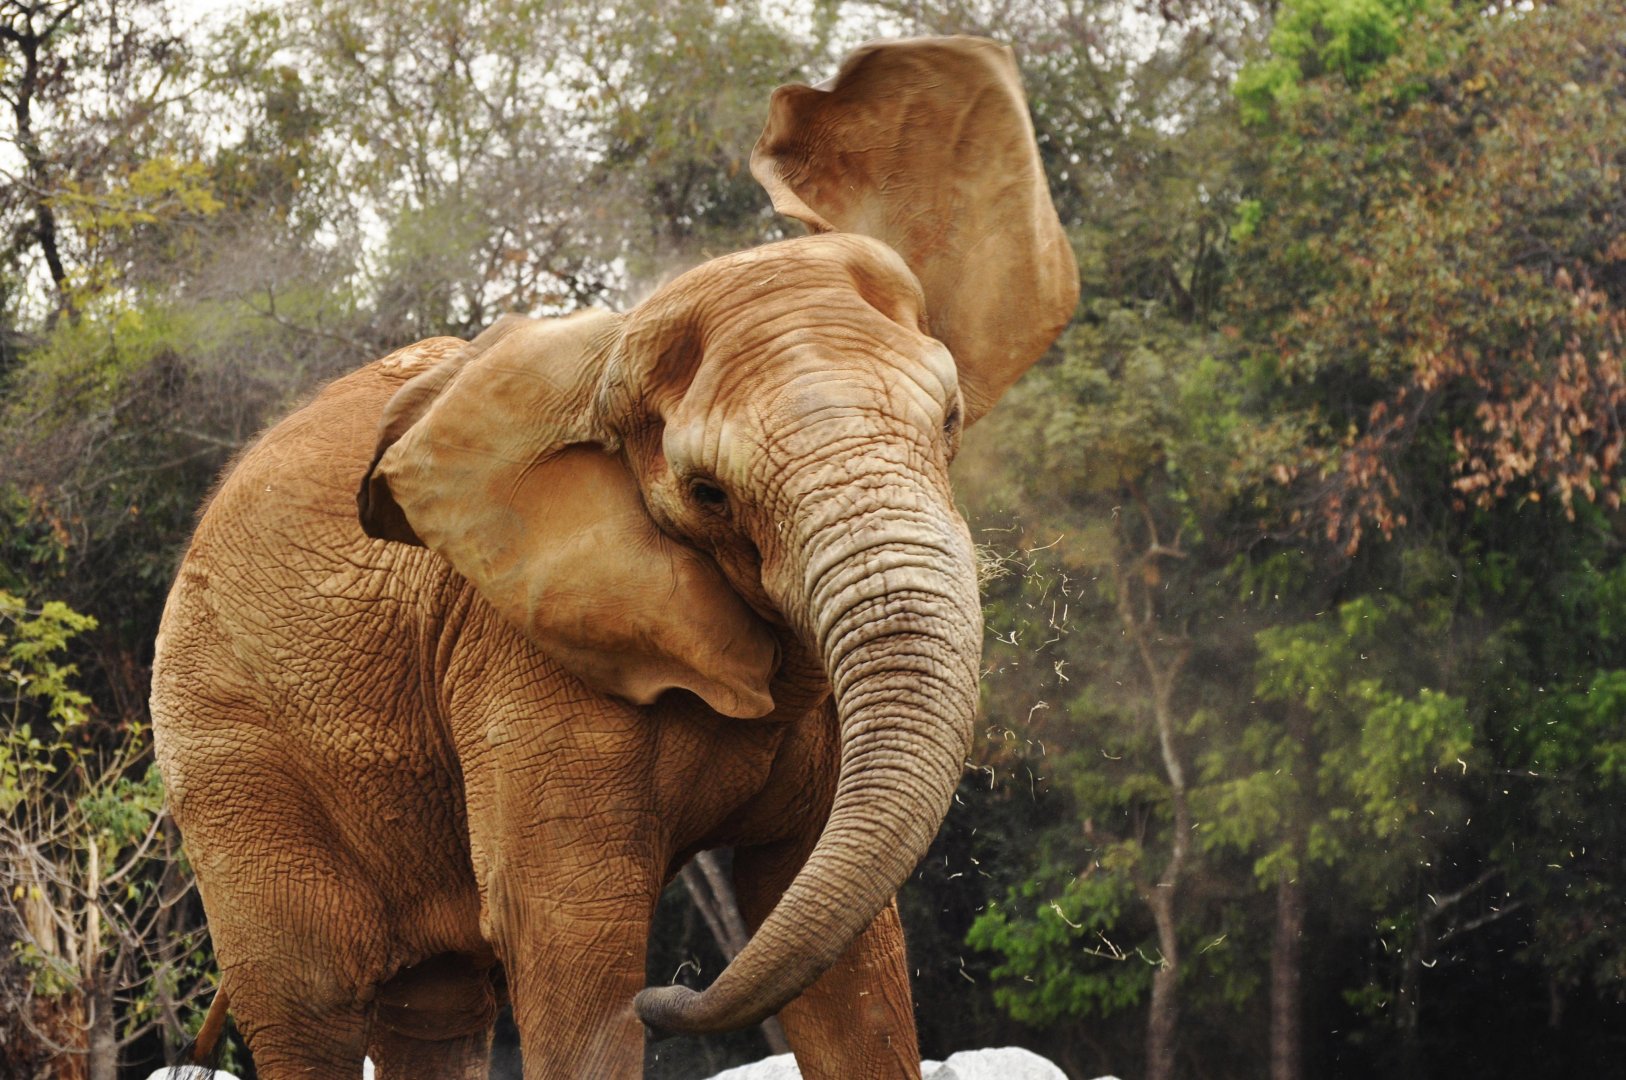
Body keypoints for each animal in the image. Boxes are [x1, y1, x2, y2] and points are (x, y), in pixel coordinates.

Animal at [150, 36, 1078, 1080]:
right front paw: (621, 995)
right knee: (309, 1006)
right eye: (708, 494)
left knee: (433, 1005)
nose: (670, 993)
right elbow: (569, 939)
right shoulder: (521, 652)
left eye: (950, 420)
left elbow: (843, 954)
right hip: (232, 754)